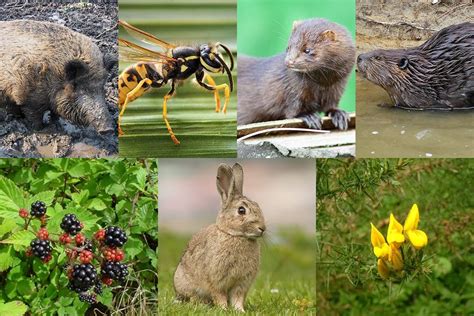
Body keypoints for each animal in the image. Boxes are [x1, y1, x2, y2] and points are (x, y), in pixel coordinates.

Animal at [173, 164, 266, 312]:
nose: (262, 228)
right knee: (193, 298)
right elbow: (219, 295)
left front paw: (239, 310)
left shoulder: (241, 283)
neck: (234, 235)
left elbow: (237, 298)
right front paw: (224, 309)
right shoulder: (216, 280)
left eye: (257, 205)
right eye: (241, 210)